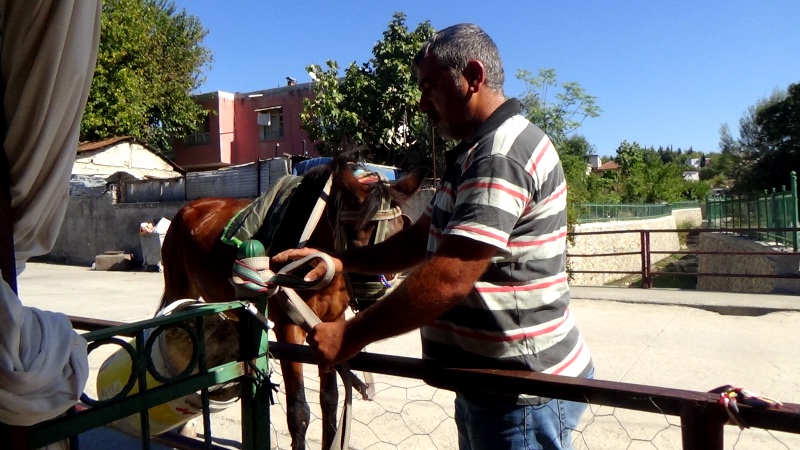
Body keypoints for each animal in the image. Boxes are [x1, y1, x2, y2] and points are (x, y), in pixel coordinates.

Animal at [159, 156, 428, 450]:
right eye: (356, 237)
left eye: (399, 235)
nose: (371, 302)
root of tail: (187, 208)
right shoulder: (288, 327)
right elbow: (299, 411)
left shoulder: (330, 321)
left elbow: (330, 399)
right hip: (178, 286)